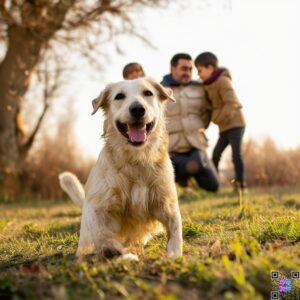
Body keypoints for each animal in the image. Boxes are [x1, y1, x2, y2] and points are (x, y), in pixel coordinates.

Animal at [57, 77, 182, 260]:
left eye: (148, 93)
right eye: (119, 96)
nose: (137, 109)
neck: (136, 160)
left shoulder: (166, 202)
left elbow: (175, 228)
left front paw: (174, 254)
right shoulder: (97, 206)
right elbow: (102, 233)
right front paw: (113, 250)